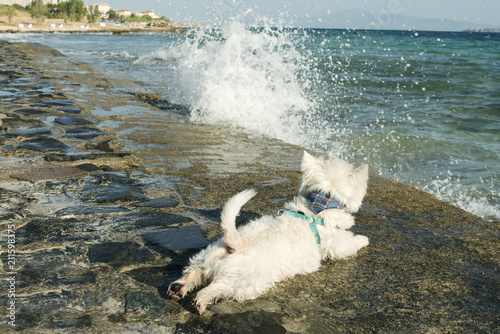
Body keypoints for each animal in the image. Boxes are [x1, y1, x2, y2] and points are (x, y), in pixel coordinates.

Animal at [170, 151, 370, 314]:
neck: (317, 209)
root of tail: (236, 243)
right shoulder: (337, 243)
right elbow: (350, 243)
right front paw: (364, 239)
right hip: (242, 280)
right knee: (215, 286)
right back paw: (200, 300)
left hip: (208, 255)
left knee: (194, 271)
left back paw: (178, 287)